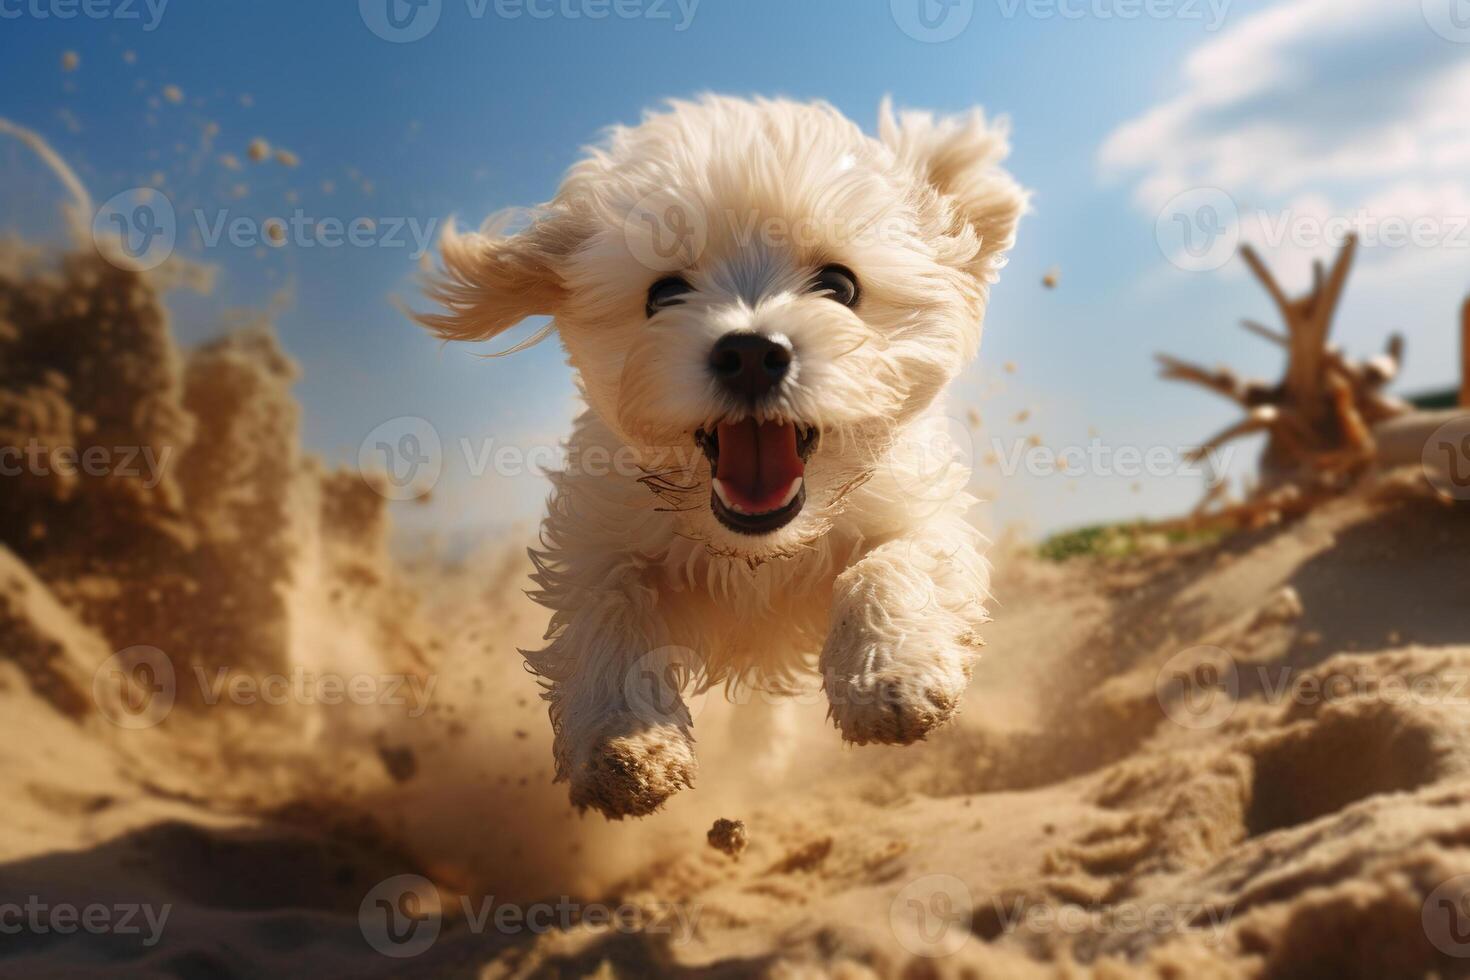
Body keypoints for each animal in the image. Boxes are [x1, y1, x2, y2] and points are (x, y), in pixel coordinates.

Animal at [420, 94, 1029, 822]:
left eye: (840, 285)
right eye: (663, 294)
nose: (751, 352)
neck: (758, 550)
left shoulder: (918, 508)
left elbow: (886, 567)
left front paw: (889, 675)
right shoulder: (601, 535)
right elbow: (608, 616)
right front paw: (625, 744)